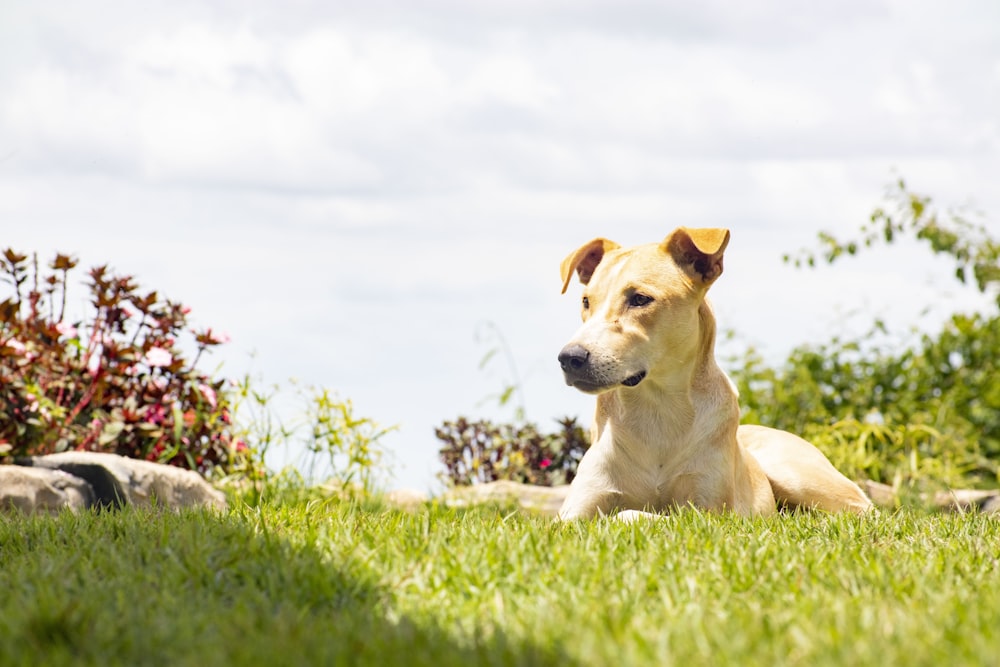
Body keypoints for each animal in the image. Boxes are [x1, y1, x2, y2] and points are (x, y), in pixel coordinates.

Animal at [560, 230, 872, 520]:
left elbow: (633, 514)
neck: (656, 406)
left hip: (793, 472)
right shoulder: (574, 511)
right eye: (586, 302)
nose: (569, 358)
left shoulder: (709, 511)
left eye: (640, 299)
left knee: (864, 510)